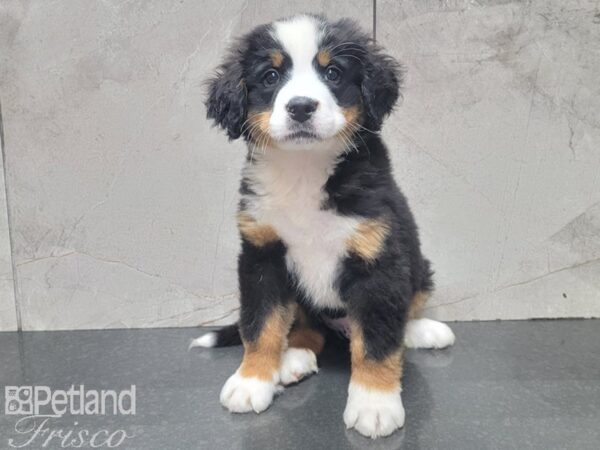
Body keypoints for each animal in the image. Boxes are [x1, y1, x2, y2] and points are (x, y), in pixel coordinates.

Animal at [192, 14, 454, 440]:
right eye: (270, 76)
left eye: (333, 72)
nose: (301, 106)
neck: (305, 170)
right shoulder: (262, 255)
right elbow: (260, 323)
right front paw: (252, 381)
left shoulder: (377, 258)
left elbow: (377, 340)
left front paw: (374, 403)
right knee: (305, 326)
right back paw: (293, 357)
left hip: (419, 266)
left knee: (401, 314)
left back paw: (421, 331)